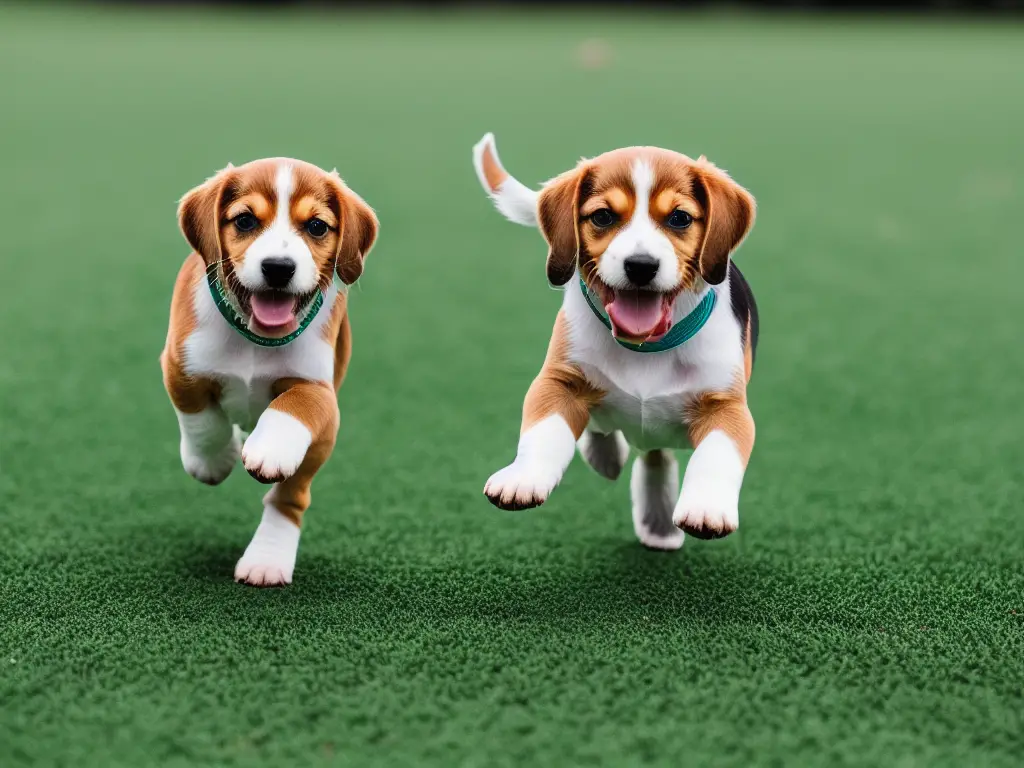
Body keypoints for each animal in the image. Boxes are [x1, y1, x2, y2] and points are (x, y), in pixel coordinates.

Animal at [161, 159, 378, 585]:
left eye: (316, 226)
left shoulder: (319, 389)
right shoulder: (180, 365)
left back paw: (267, 559)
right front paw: (212, 460)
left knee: (289, 499)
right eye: (245, 220)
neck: (255, 338)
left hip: (318, 446)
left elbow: (295, 403)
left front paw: (271, 447)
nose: (278, 268)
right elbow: (201, 419)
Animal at [473, 134, 761, 552]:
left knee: (656, 458)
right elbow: (543, 431)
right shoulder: (559, 382)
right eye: (604, 217)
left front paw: (706, 508)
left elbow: (715, 457)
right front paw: (523, 478)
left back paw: (658, 523)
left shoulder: (727, 407)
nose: (640, 265)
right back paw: (606, 457)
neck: (646, 347)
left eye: (679, 218)